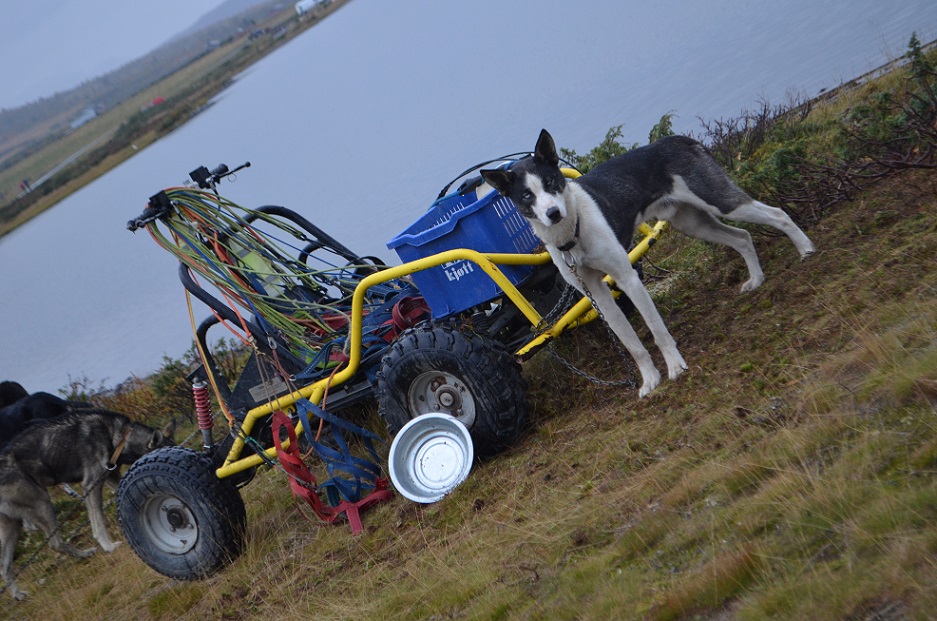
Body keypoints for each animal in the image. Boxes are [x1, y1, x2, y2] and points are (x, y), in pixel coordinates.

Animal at [0, 410, 175, 600]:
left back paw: (18, 594)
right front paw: (108, 546)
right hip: (43, 503)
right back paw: (84, 554)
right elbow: (97, 523)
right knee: (55, 544)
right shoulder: (91, 485)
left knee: (4, 566)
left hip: (14, 525)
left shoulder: (110, 477)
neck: (117, 436)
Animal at [480, 129, 814, 397]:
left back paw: (806, 251)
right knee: (743, 237)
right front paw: (650, 380)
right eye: (527, 196)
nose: (552, 214)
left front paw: (676, 367)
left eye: (551, 182)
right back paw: (757, 279)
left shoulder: (627, 278)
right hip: (693, 224)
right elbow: (633, 345)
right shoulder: (598, 295)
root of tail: (677, 139)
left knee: (777, 215)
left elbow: (656, 330)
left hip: (722, 203)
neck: (574, 232)